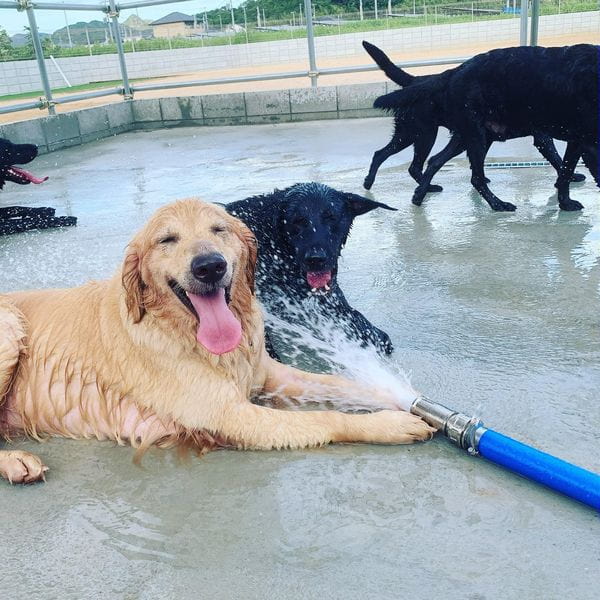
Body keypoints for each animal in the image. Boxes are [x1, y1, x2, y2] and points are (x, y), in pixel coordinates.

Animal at [364, 42, 592, 211]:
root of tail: (415, 80)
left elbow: (561, 162)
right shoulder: (544, 138)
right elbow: (558, 160)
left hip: (439, 136)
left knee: (418, 161)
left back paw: (423, 189)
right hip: (425, 134)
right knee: (394, 158)